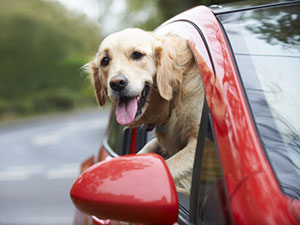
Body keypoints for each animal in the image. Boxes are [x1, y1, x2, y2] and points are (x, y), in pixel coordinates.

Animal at [85, 27, 205, 193]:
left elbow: (169, 166)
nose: (117, 83)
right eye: (105, 61)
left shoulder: (198, 144)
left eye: (137, 55)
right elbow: (147, 149)